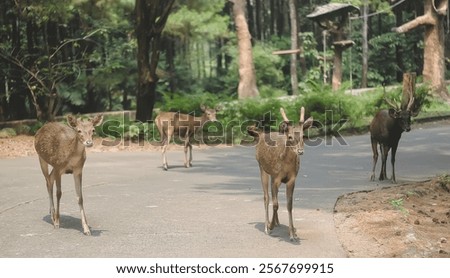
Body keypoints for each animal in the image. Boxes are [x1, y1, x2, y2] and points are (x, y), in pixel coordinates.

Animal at [246, 106, 312, 241]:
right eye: (290, 137)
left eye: (303, 135)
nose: (300, 151)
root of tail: (261, 135)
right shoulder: (275, 178)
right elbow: (275, 204)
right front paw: (270, 227)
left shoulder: (292, 179)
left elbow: (289, 205)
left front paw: (292, 234)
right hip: (262, 168)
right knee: (266, 197)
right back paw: (267, 226)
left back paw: (277, 222)